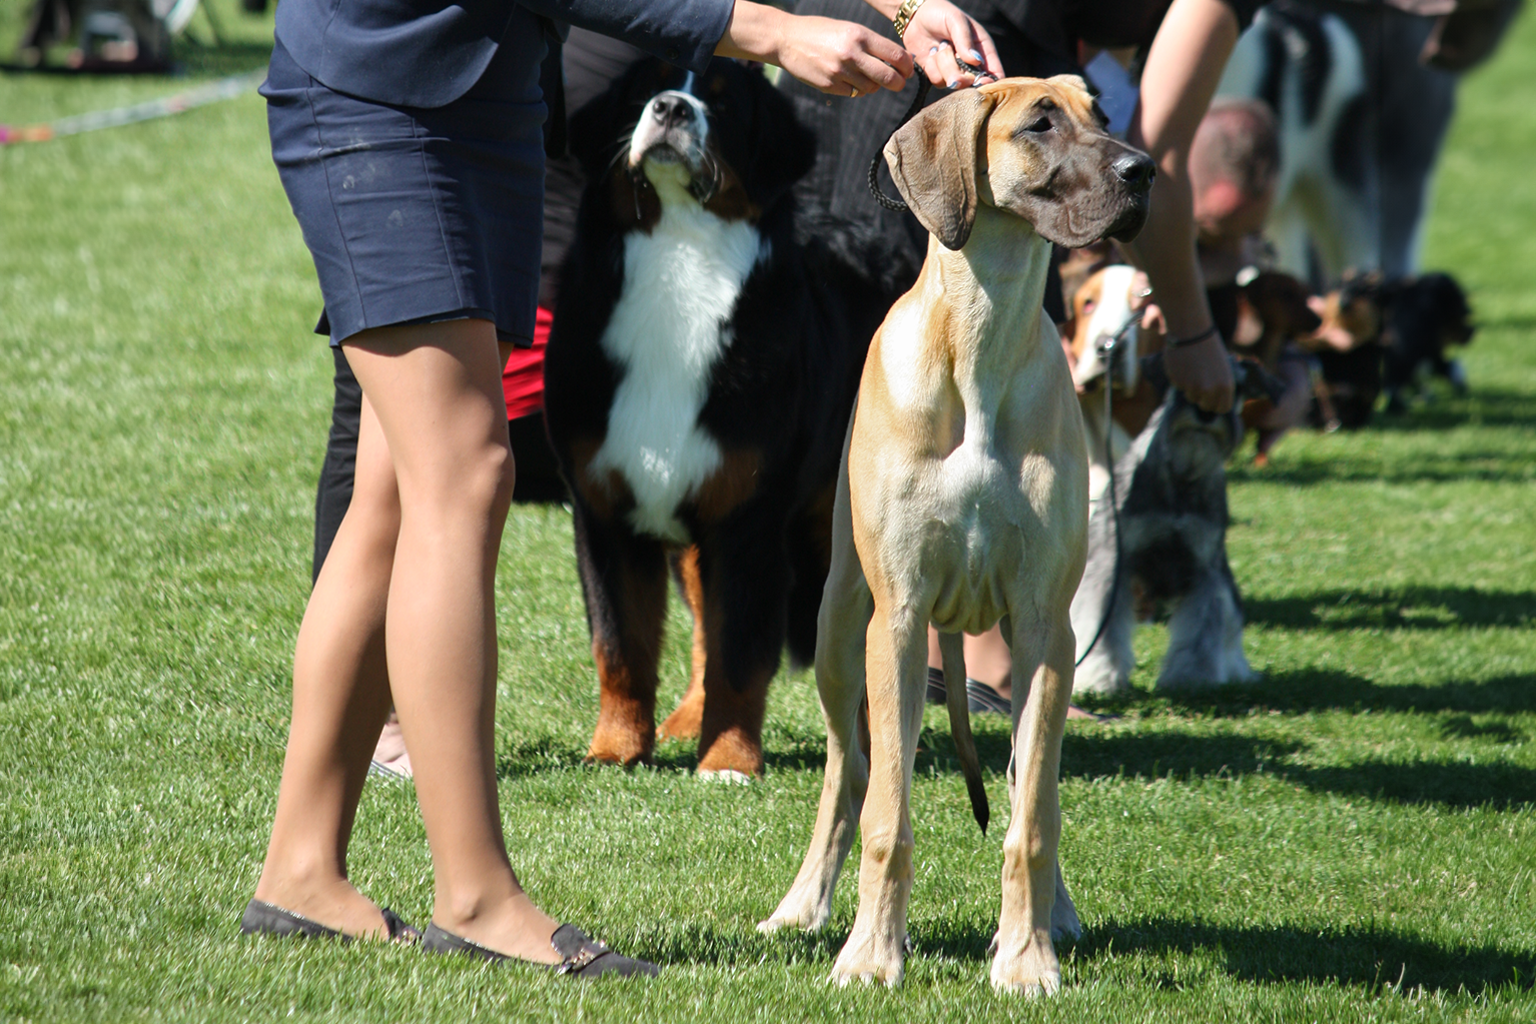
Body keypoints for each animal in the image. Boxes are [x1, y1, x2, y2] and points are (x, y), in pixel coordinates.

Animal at [543, 57, 897, 776]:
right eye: (641, 88)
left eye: (724, 102)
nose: (671, 108)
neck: (677, 261)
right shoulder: (606, 507)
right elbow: (621, 647)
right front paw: (615, 750)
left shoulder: (749, 516)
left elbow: (741, 653)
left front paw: (728, 761)